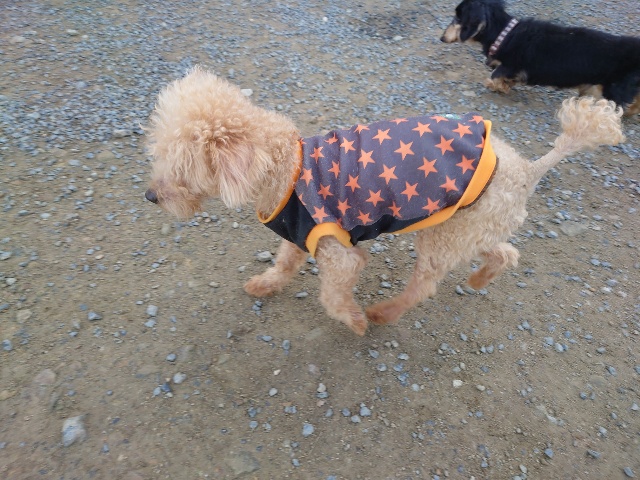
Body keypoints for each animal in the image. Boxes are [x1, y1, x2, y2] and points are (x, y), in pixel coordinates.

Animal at [144, 68, 624, 336]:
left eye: (181, 165)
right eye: (159, 152)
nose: (150, 195)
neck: (284, 169)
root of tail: (528, 170)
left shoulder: (337, 249)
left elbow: (333, 294)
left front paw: (354, 321)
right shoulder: (300, 233)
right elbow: (283, 263)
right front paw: (263, 285)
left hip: (442, 238)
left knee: (424, 286)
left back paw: (381, 315)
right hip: (470, 228)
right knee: (506, 253)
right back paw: (479, 280)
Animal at [441, 0, 640, 115]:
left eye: (458, 18)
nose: (441, 38)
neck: (504, 34)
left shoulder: (511, 64)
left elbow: (494, 76)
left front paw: (499, 87)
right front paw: (505, 86)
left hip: (613, 89)